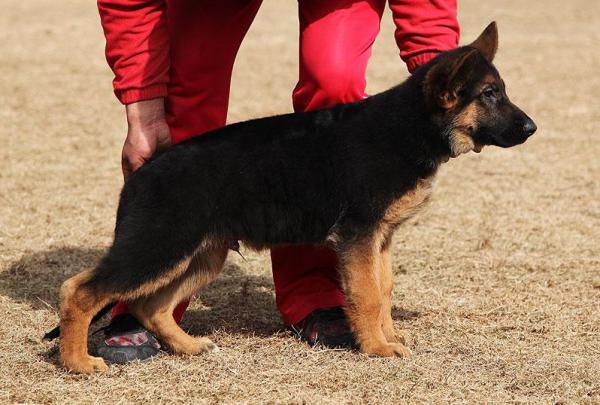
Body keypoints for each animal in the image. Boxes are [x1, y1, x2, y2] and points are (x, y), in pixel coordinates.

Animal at [47, 21, 536, 370]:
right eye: (489, 94)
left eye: (501, 91)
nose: (532, 128)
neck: (410, 125)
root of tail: (147, 167)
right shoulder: (360, 237)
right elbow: (367, 294)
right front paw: (376, 348)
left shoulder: (380, 239)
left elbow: (383, 288)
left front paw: (388, 336)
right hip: (158, 247)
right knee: (80, 290)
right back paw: (78, 363)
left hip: (200, 255)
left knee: (154, 305)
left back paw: (187, 346)